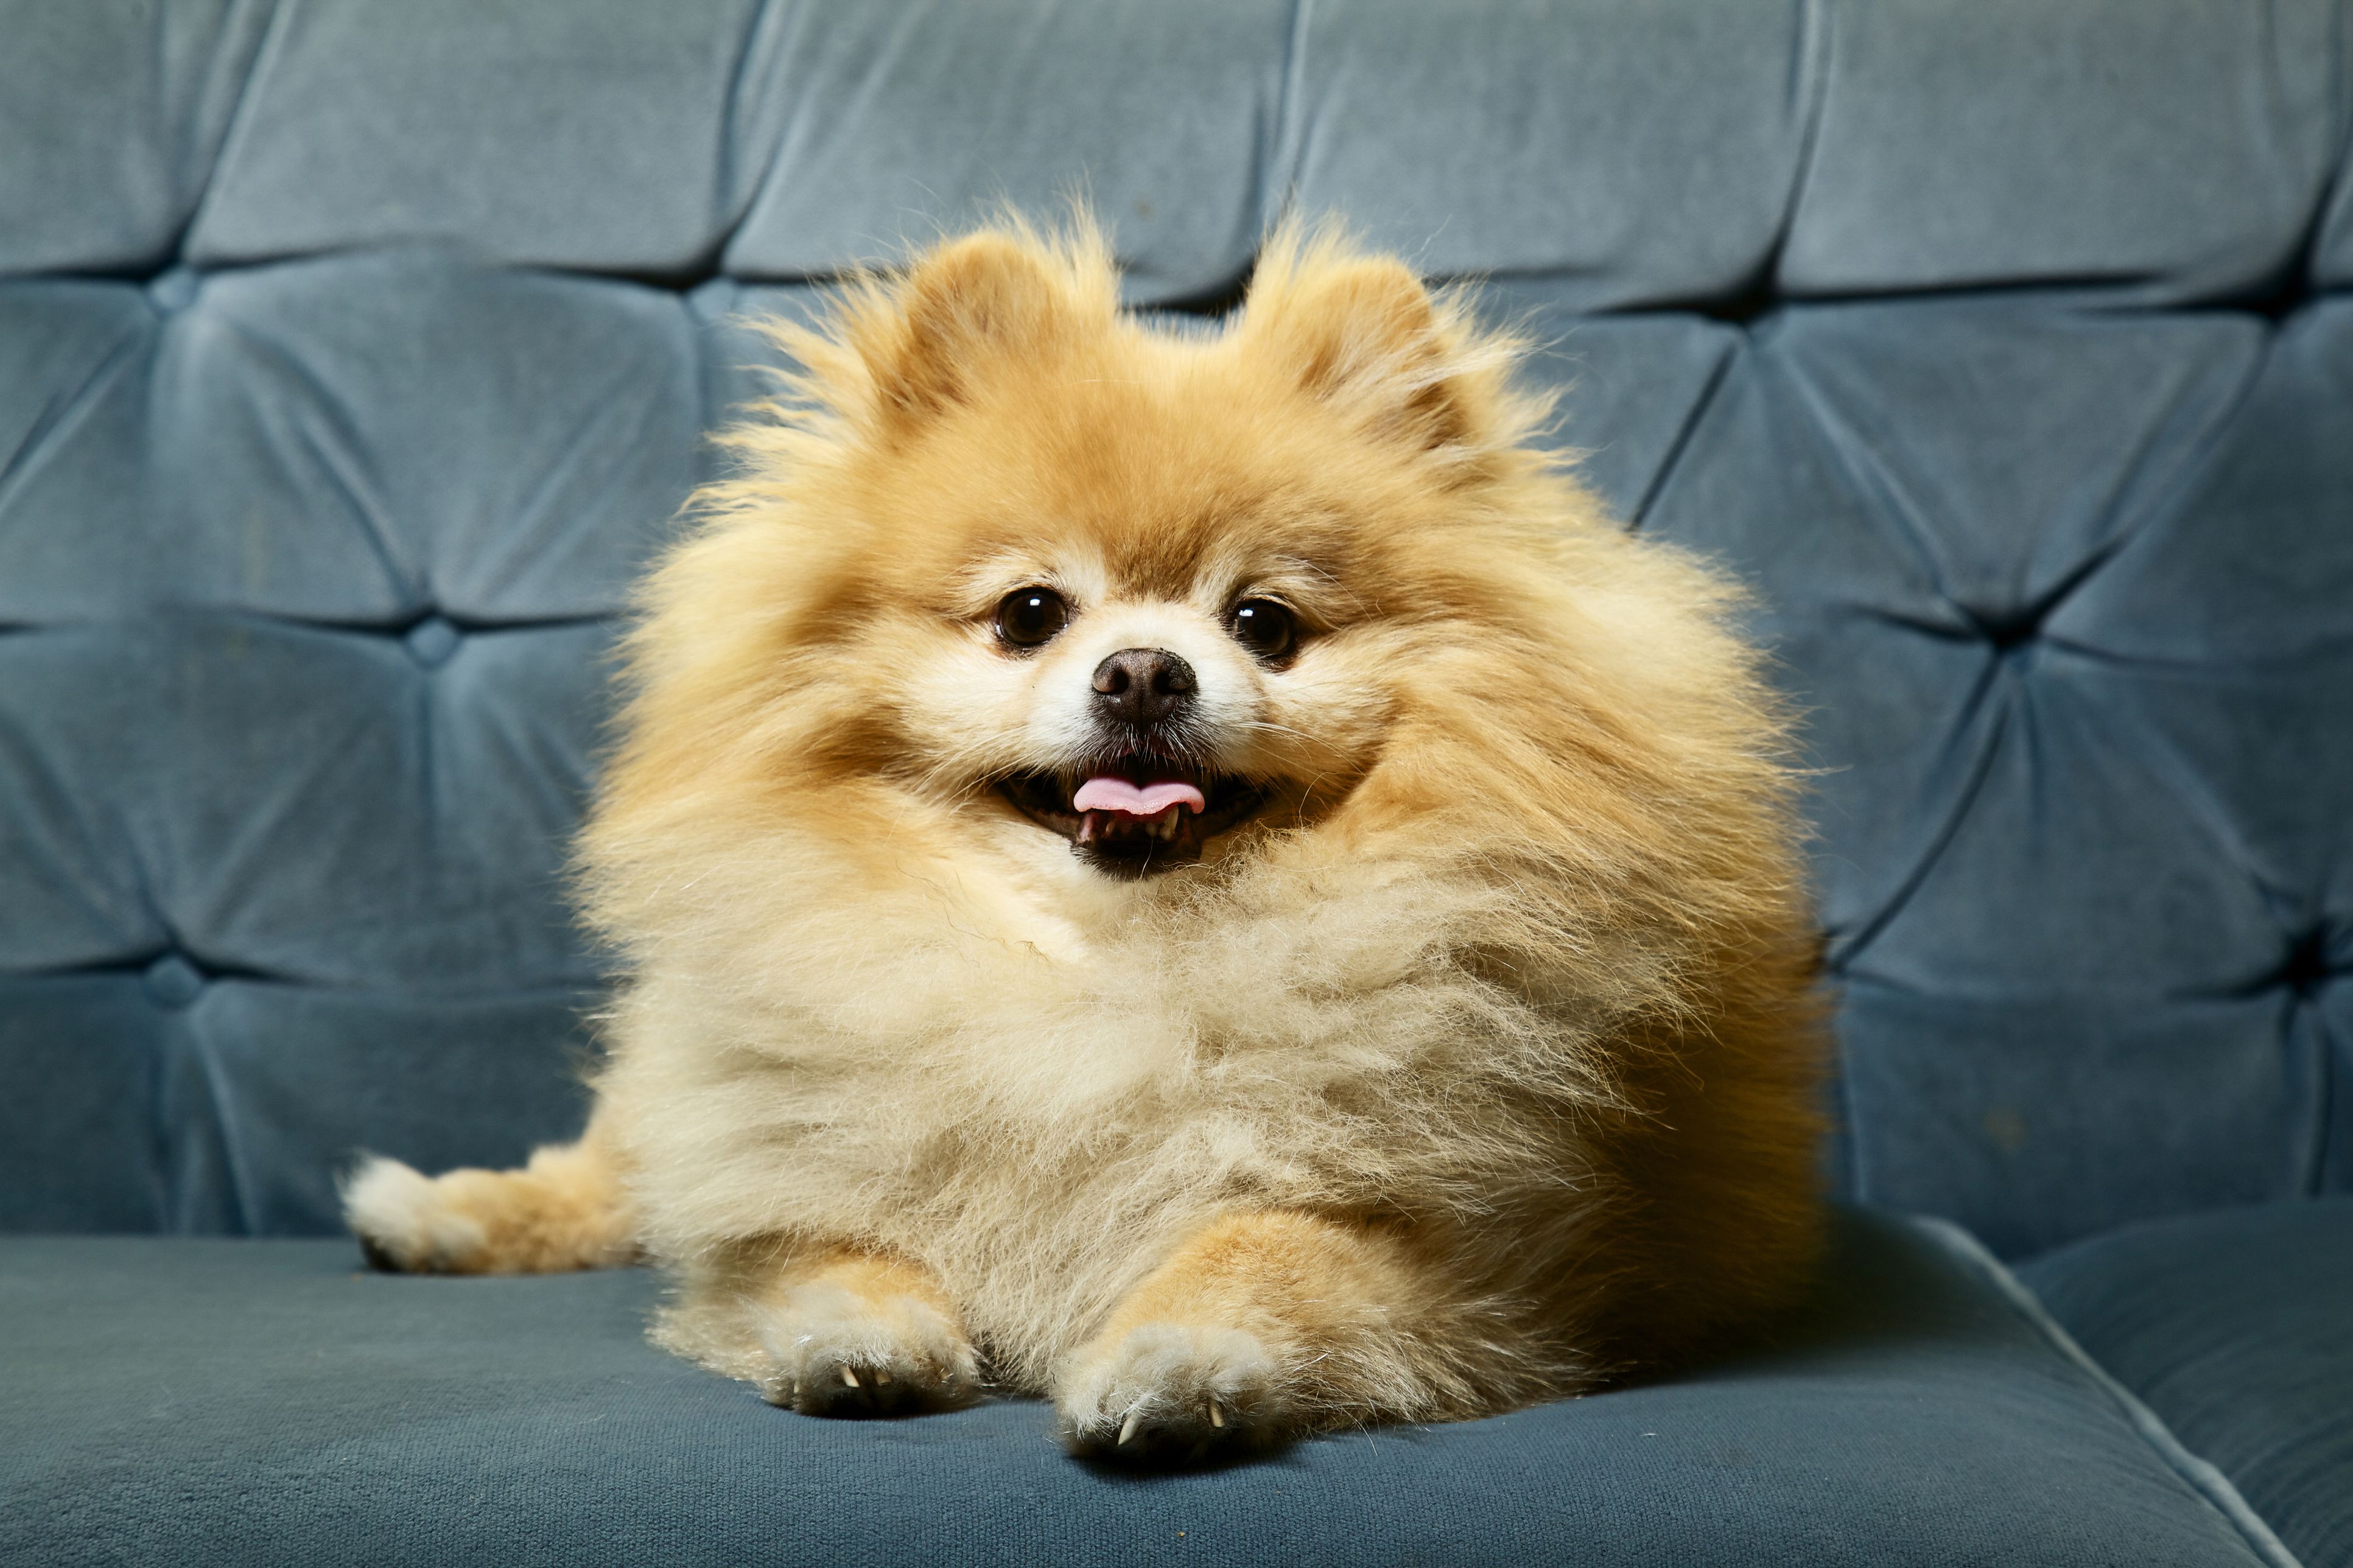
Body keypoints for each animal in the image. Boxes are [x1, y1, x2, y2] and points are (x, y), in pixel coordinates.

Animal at [343, 216, 1816, 1450]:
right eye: (1031, 613)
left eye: (1264, 623)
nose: (1145, 672)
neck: (1104, 971)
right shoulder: (788, 1170)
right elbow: (815, 1246)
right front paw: (863, 1338)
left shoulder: (1487, 1248)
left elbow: (1260, 1252)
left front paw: (1173, 1362)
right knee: (620, 1164)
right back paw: (441, 1212)